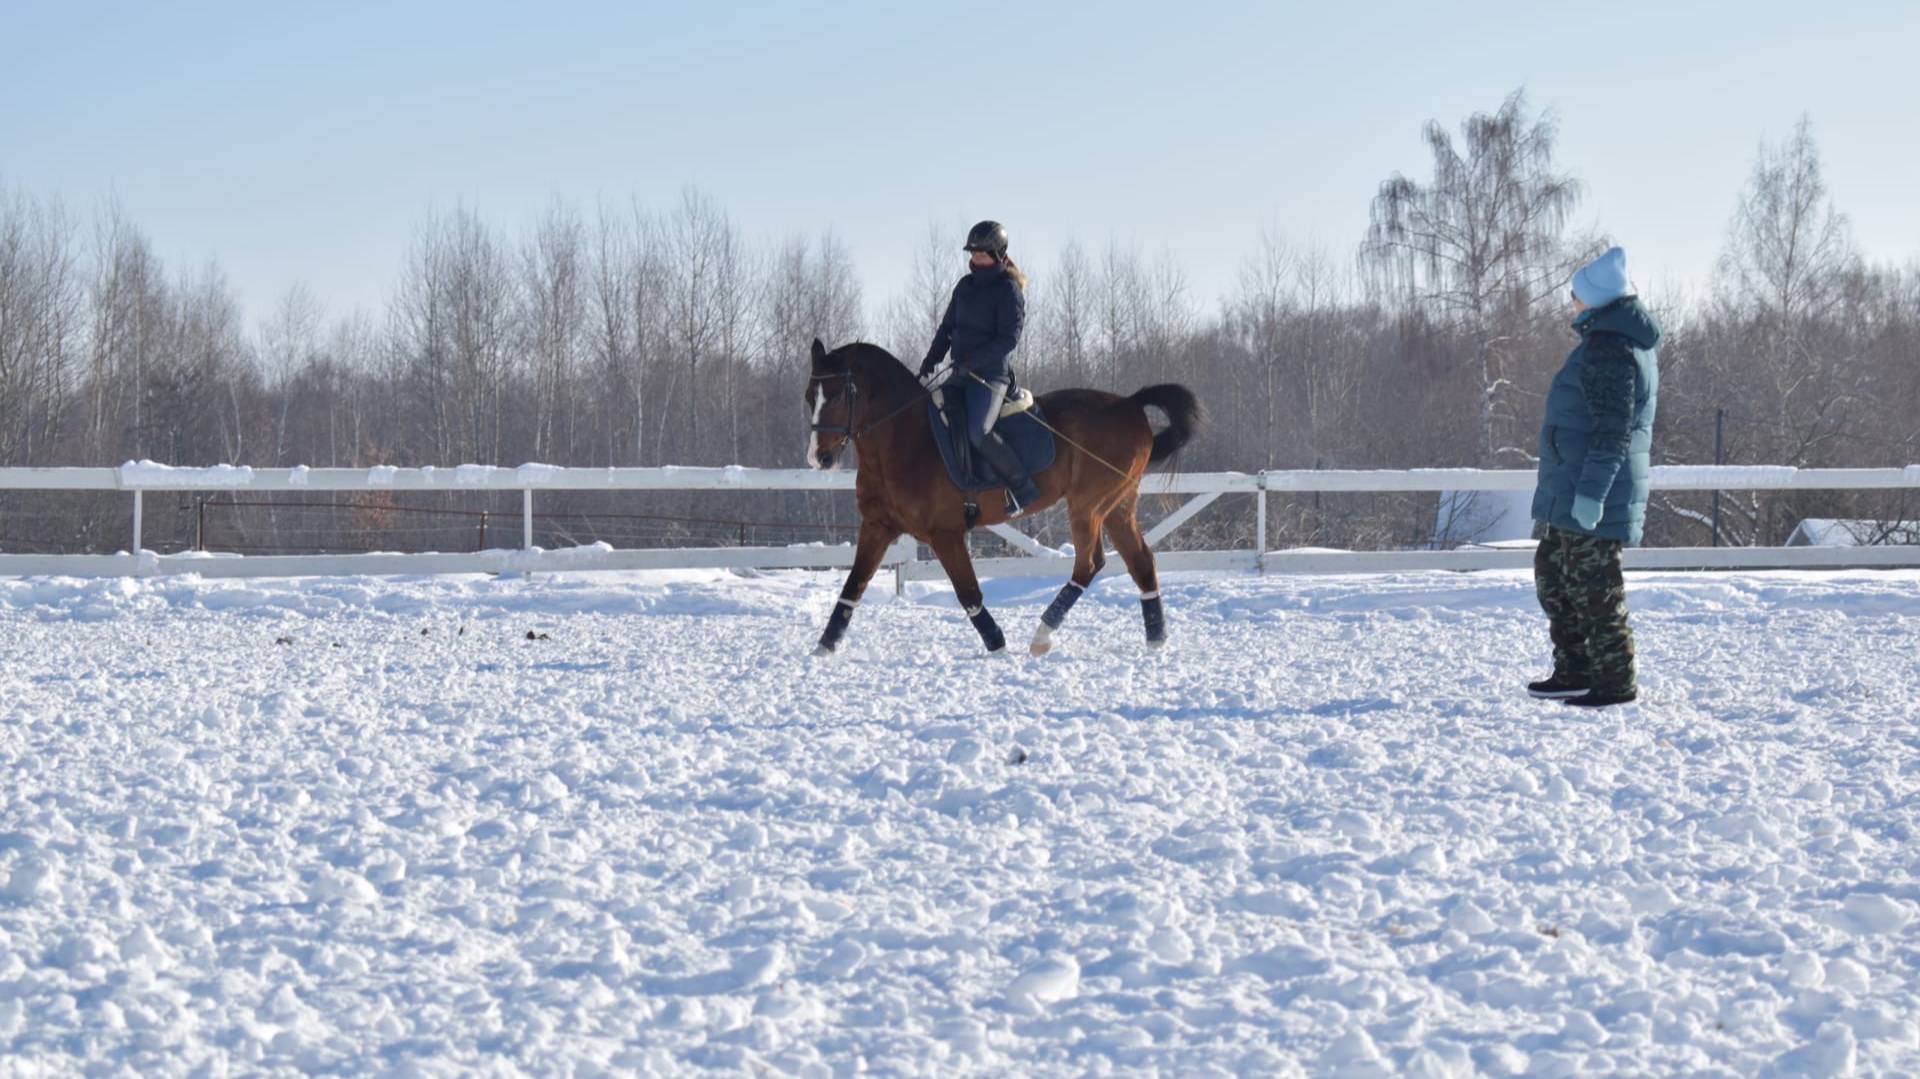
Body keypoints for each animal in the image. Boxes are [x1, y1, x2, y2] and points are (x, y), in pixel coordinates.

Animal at [806, 339, 1198, 652]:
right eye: (810, 396)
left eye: (839, 395)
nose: (818, 458)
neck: (904, 440)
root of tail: (1130, 404)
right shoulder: (878, 527)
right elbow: (853, 586)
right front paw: (824, 647)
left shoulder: (945, 534)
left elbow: (968, 593)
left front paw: (997, 643)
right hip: (1117, 506)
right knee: (1140, 561)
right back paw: (1156, 638)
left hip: (1088, 506)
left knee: (1089, 564)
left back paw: (1042, 635)